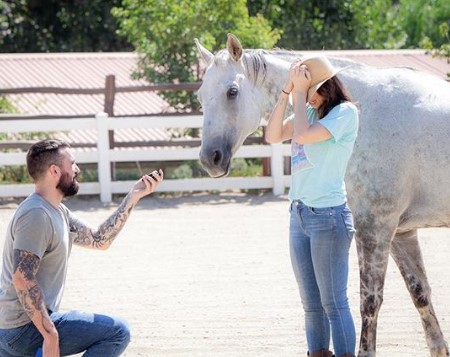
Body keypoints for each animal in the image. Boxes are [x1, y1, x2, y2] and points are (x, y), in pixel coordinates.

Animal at [195, 32, 450, 354]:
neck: (366, 110)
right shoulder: (401, 233)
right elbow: (420, 293)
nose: (210, 158)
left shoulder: (374, 228)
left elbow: (369, 301)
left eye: (232, 91)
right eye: (200, 96)